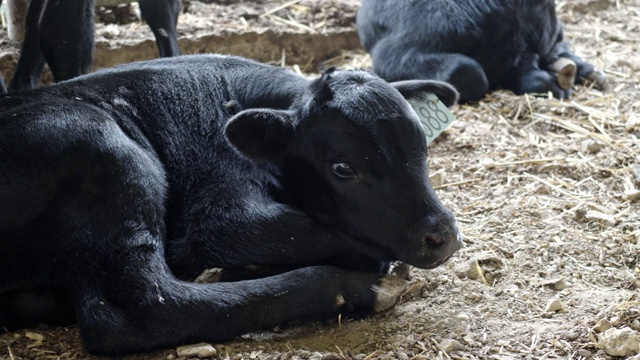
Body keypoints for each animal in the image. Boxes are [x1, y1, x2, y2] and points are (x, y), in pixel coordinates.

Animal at [0, 54, 462, 354]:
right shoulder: (221, 215)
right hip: (110, 155)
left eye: (421, 147)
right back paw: (354, 289)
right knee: (140, 309)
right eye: (343, 168)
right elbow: (344, 242)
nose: (441, 235)